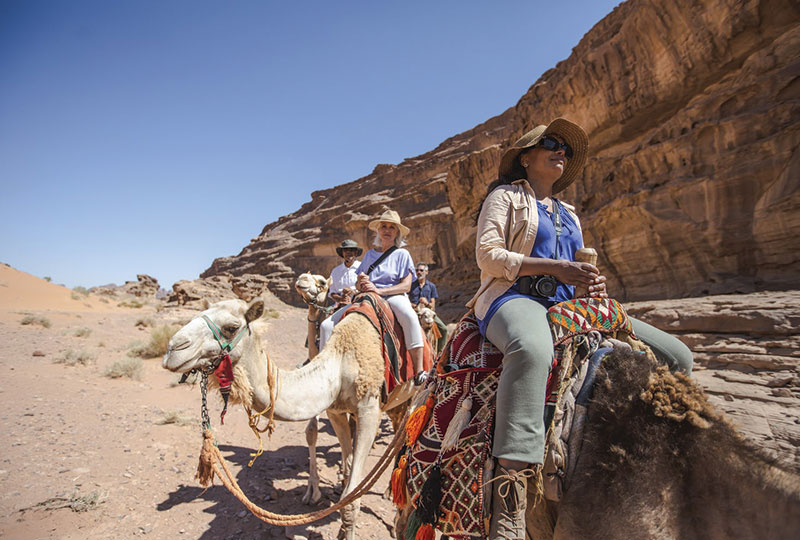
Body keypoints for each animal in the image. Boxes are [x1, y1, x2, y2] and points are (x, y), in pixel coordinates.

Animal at [164, 298, 412, 536]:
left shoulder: (369, 409)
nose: (173, 349)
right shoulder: (335, 411)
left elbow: (351, 501)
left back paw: (395, 506)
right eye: (196, 315)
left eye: (231, 328)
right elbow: (348, 472)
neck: (341, 362)